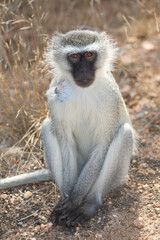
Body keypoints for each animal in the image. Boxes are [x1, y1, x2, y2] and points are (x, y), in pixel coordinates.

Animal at [0, 29, 136, 227]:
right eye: (74, 57)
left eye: (89, 54)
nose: (84, 71)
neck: (83, 90)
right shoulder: (53, 94)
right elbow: (66, 144)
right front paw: (67, 199)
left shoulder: (110, 95)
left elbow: (103, 146)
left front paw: (75, 200)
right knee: (47, 126)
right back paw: (65, 196)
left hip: (118, 178)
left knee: (125, 133)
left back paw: (89, 204)